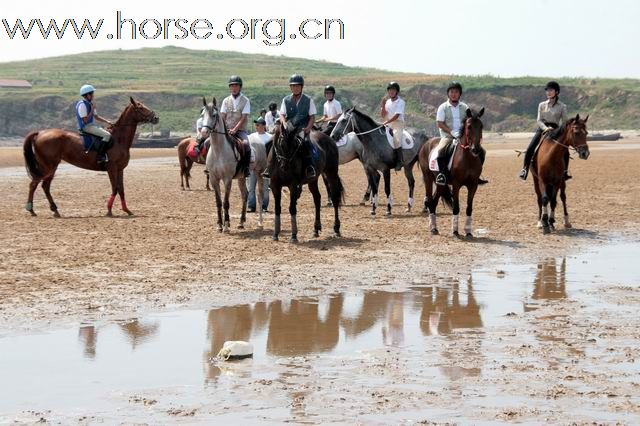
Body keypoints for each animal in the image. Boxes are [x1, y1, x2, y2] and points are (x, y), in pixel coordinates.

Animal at [23, 96, 159, 216]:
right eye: (140, 107)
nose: (156, 118)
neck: (118, 139)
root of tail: (40, 133)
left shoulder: (120, 169)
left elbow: (121, 189)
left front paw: (126, 210)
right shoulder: (112, 168)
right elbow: (114, 188)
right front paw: (109, 210)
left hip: (50, 167)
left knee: (44, 186)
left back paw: (54, 210)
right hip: (49, 166)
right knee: (35, 184)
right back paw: (32, 209)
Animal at [416, 107, 484, 236]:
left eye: (481, 126)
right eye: (469, 127)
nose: (475, 149)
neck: (468, 158)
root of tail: (426, 143)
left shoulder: (473, 185)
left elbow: (469, 208)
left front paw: (468, 231)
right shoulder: (456, 185)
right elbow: (456, 207)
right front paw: (455, 231)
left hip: (440, 184)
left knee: (434, 201)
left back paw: (434, 227)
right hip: (428, 178)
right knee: (430, 200)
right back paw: (433, 228)